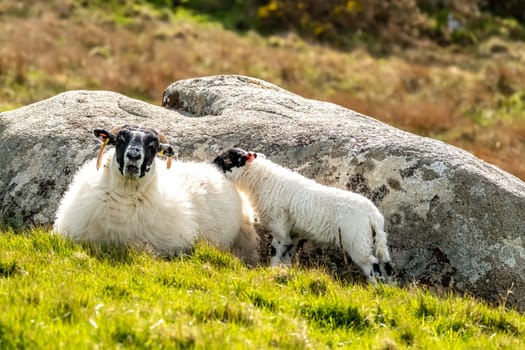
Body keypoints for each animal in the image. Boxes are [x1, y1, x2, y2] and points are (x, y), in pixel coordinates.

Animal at [214, 147, 392, 282]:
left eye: (228, 160)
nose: (211, 166)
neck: (262, 181)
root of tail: (374, 215)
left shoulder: (280, 227)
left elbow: (276, 252)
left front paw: (271, 271)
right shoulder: (294, 233)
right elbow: (287, 256)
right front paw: (283, 273)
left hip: (357, 240)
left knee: (372, 265)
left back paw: (375, 288)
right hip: (372, 240)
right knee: (386, 265)